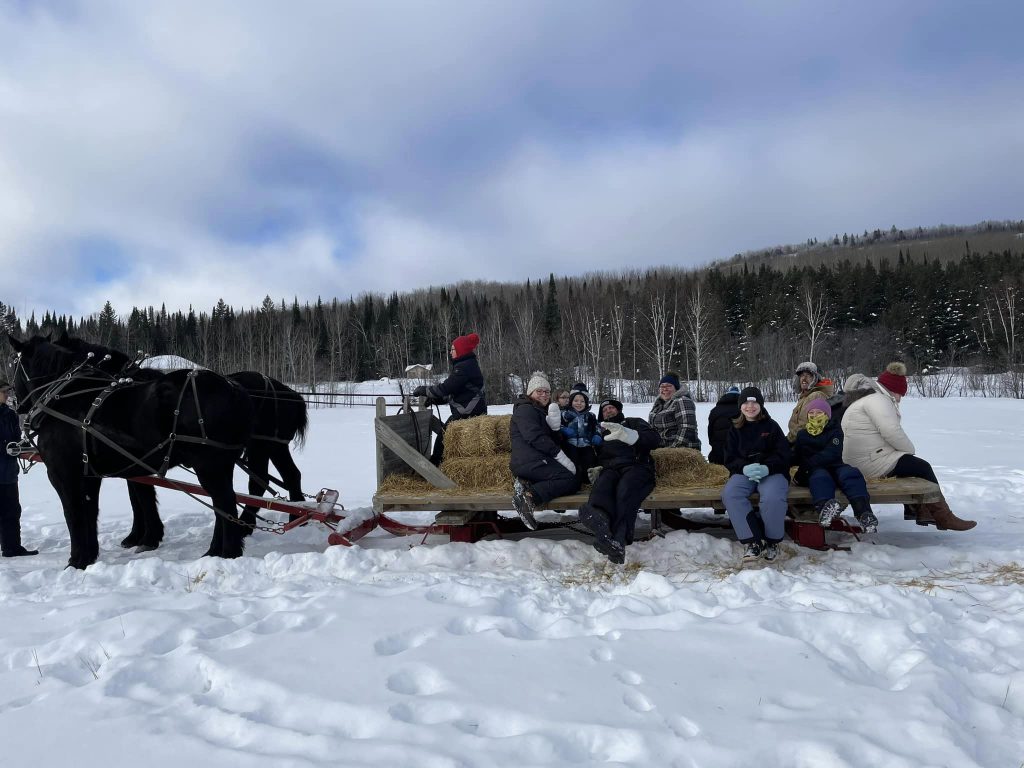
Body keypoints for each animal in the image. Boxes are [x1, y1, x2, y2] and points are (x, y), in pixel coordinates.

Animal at [11, 333, 254, 569]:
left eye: (13, 362)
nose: (16, 405)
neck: (64, 398)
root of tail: (233, 387)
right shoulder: (91, 475)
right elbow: (92, 511)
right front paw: (90, 556)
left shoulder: (63, 474)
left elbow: (74, 514)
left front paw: (77, 561)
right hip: (221, 465)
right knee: (223, 507)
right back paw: (214, 551)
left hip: (209, 466)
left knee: (225, 504)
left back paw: (227, 554)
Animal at [53, 333, 307, 548]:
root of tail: (289, 392)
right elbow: (138, 494)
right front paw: (139, 535)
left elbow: (139, 496)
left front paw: (143, 537)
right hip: (271, 447)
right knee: (288, 476)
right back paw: (294, 518)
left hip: (263, 446)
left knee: (260, 482)